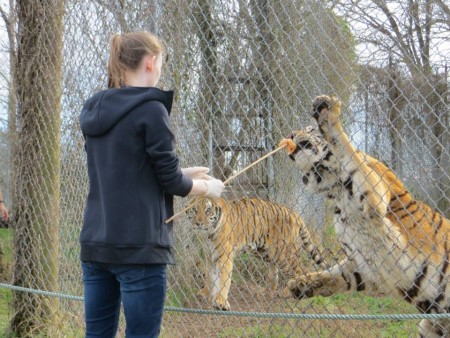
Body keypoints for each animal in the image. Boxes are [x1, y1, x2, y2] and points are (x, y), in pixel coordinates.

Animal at [186, 197, 326, 310]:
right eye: (194, 210)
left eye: (208, 210)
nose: (199, 223)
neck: (207, 234)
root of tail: (293, 212)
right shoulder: (209, 255)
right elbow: (210, 276)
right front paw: (205, 293)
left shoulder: (225, 256)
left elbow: (223, 279)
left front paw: (221, 302)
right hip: (266, 252)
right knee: (274, 274)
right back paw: (266, 293)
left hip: (283, 253)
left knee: (299, 270)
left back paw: (287, 292)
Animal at [282, 95, 450, 338]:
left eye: (310, 129)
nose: (290, 135)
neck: (336, 190)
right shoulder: (364, 263)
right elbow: (336, 274)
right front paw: (304, 283)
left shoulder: (375, 198)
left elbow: (347, 151)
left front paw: (328, 113)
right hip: (430, 327)